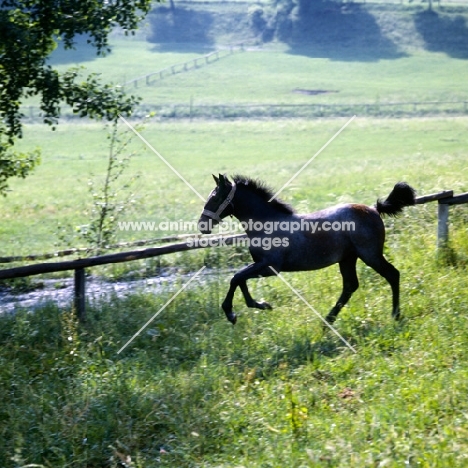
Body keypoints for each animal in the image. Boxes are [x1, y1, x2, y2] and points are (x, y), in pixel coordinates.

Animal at [197, 175, 414, 326]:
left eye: (215, 198)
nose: (202, 225)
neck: (267, 223)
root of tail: (374, 209)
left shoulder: (270, 267)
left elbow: (236, 277)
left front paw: (231, 313)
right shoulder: (261, 264)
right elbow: (240, 278)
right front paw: (261, 305)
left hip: (370, 255)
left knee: (392, 275)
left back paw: (395, 315)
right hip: (347, 259)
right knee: (350, 286)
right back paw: (327, 322)